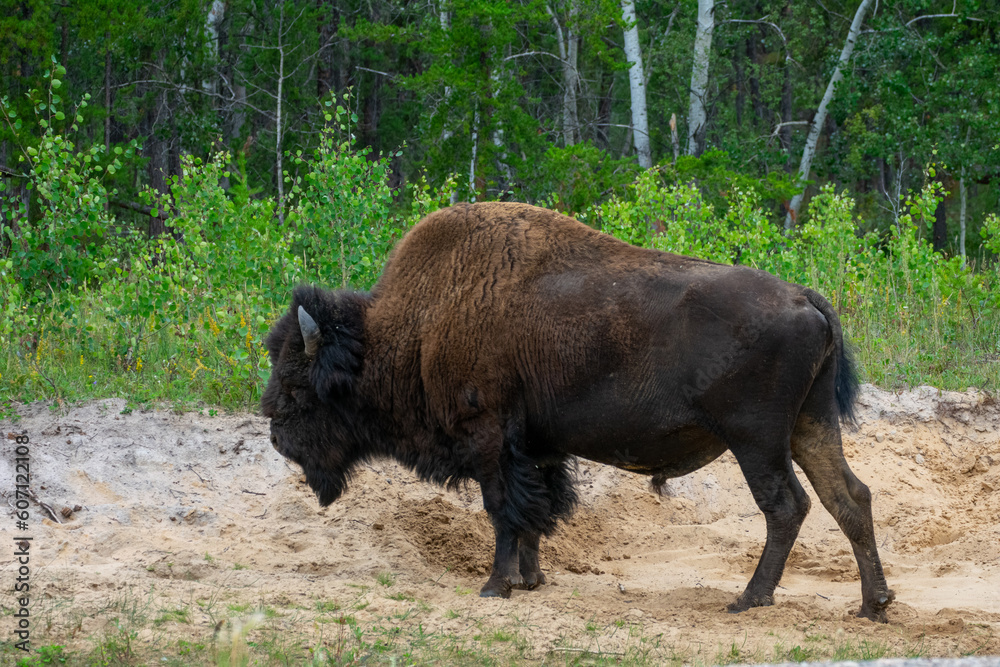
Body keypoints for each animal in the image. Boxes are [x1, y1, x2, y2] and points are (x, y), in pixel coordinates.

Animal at [262, 201, 896, 624]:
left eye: (298, 386)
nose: (276, 435)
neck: (416, 327)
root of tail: (803, 297)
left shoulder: (490, 440)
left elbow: (504, 510)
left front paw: (495, 586)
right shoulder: (537, 449)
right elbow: (536, 511)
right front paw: (531, 580)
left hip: (756, 441)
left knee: (787, 506)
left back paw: (749, 599)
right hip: (811, 427)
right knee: (849, 496)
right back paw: (874, 604)